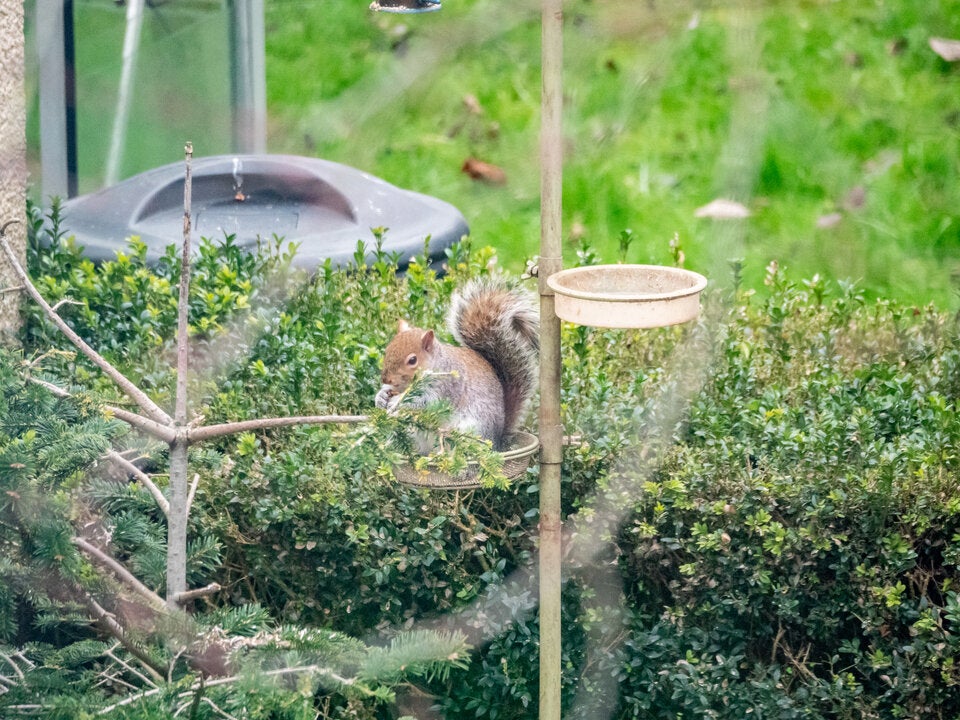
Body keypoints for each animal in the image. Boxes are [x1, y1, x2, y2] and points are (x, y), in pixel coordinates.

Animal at [375, 278, 539, 451]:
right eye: (387, 349)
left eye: (412, 360)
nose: (386, 379)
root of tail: (497, 443)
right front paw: (381, 396)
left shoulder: (446, 386)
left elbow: (426, 401)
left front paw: (397, 401)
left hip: (470, 430)